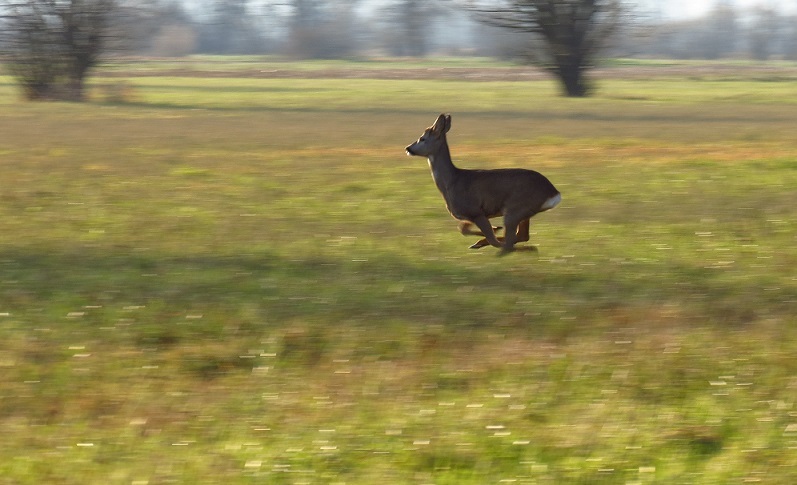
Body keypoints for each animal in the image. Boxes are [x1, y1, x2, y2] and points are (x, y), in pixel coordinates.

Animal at [404, 112, 560, 251]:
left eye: (422, 138)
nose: (408, 148)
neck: (452, 181)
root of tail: (554, 193)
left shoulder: (475, 211)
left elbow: (488, 236)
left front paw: (492, 231)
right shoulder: (470, 215)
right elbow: (463, 229)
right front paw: (492, 231)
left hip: (515, 208)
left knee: (509, 242)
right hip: (524, 213)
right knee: (521, 236)